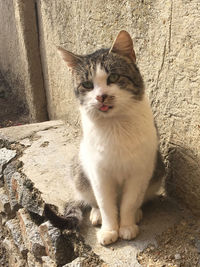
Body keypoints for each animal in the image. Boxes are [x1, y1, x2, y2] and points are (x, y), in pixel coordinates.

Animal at [55, 30, 164, 246]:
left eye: (113, 77)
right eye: (87, 85)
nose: (101, 96)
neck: (116, 126)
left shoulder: (139, 172)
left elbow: (129, 203)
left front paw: (127, 226)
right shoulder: (99, 174)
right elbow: (106, 204)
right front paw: (109, 229)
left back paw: (137, 213)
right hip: (79, 171)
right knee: (92, 200)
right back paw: (96, 214)